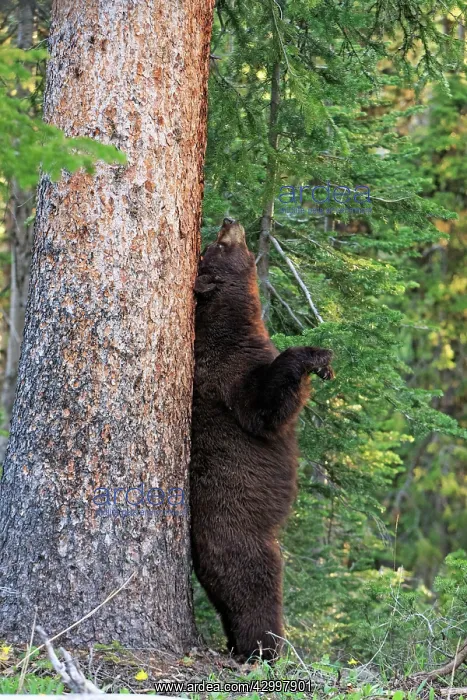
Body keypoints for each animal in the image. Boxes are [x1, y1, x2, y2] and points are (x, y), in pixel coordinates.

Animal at [190, 218, 334, 662]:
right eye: (216, 248)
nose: (228, 221)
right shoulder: (228, 378)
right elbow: (267, 408)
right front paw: (315, 357)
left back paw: (238, 646)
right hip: (246, 543)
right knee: (258, 591)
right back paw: (267, 648)